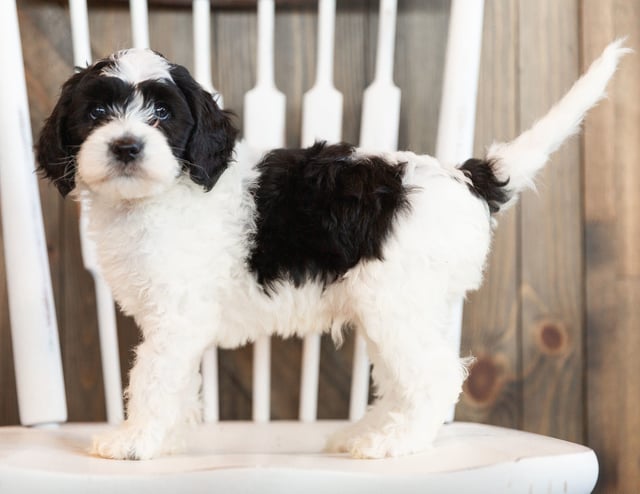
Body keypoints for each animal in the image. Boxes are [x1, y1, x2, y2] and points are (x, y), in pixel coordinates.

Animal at [37, 41, 628, 460]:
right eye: (96, 113)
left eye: (162, 114)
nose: (126, 146)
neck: (157, 196)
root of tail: (467, 176)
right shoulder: (173, 323)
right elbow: (176, 381)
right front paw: (168, 438)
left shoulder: (175, 318)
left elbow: (151, 379)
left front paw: (134, 442)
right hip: (403, 307)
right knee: (403, 378)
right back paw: (368, 431)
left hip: (395, 304)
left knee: (434, 376)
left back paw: (393, 443)